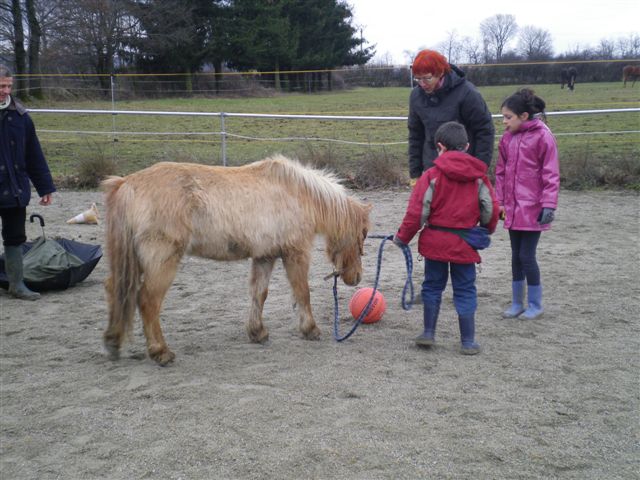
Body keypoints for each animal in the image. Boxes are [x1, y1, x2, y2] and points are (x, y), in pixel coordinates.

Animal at [99, 156, 370, 366]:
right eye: (363, 236)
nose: (356, 277)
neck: (296, 192)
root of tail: (126, 184)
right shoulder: (296, 253)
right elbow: (302, 292)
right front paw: (310, 330)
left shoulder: (264, 256)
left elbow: (259, 294)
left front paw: (257, 332)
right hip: (162, 262)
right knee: (147, 301)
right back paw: (161, 352)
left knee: (115, 290)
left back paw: (113, 341)